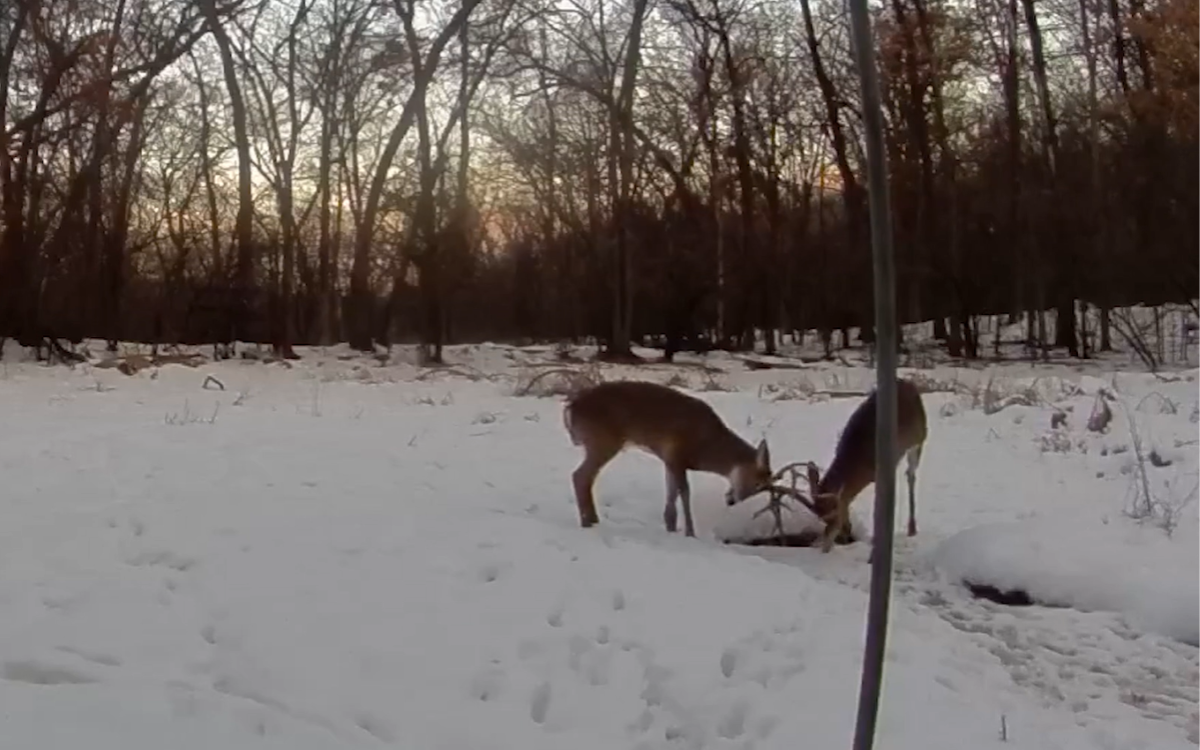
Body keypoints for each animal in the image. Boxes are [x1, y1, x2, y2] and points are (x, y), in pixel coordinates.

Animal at [563, 380, 773, 538]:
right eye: (757, 483)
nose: (733, 501)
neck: (707, 446)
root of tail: (570, 408)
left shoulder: (669, 459)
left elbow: (671, 493)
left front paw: (670, 527)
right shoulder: (677, 453)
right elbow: (685, 492)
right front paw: (690, 533)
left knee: (586, 477)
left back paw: (593, 520)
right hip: (603, 440)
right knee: (580, 476)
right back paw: (587, 522)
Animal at [804, 377, 928, 552]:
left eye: (835, 511)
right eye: (819, 515)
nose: (827, 546)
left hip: (919, 439)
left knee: (911, 475)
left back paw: (912, 528)